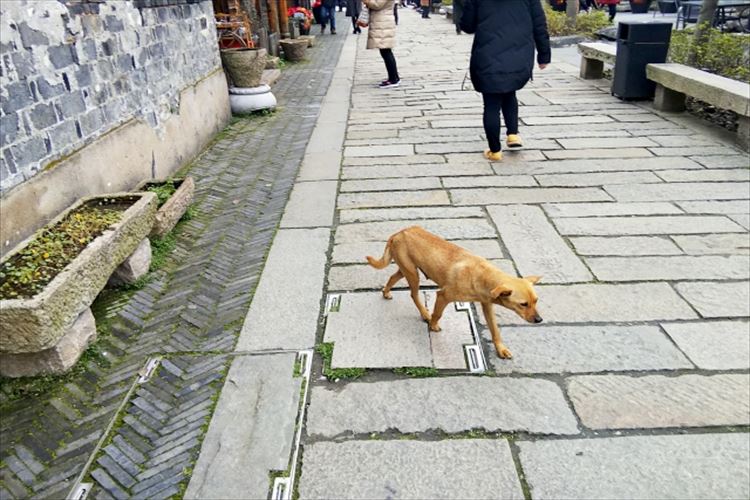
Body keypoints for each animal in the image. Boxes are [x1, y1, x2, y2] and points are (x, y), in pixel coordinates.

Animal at [368, 227, 540, 360]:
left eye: (536, 301)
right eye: (523, 304)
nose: (539, 320)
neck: (482, 274)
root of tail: (398, 233)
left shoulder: (487, 305)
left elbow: (495, 330)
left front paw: (501, 349)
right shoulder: (443, 296)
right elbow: (437, 314)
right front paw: (433, 325)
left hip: (406, 270)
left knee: (392, 277)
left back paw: (386, 293)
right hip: (412, 274)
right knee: (413, 295)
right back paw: (425, 313)